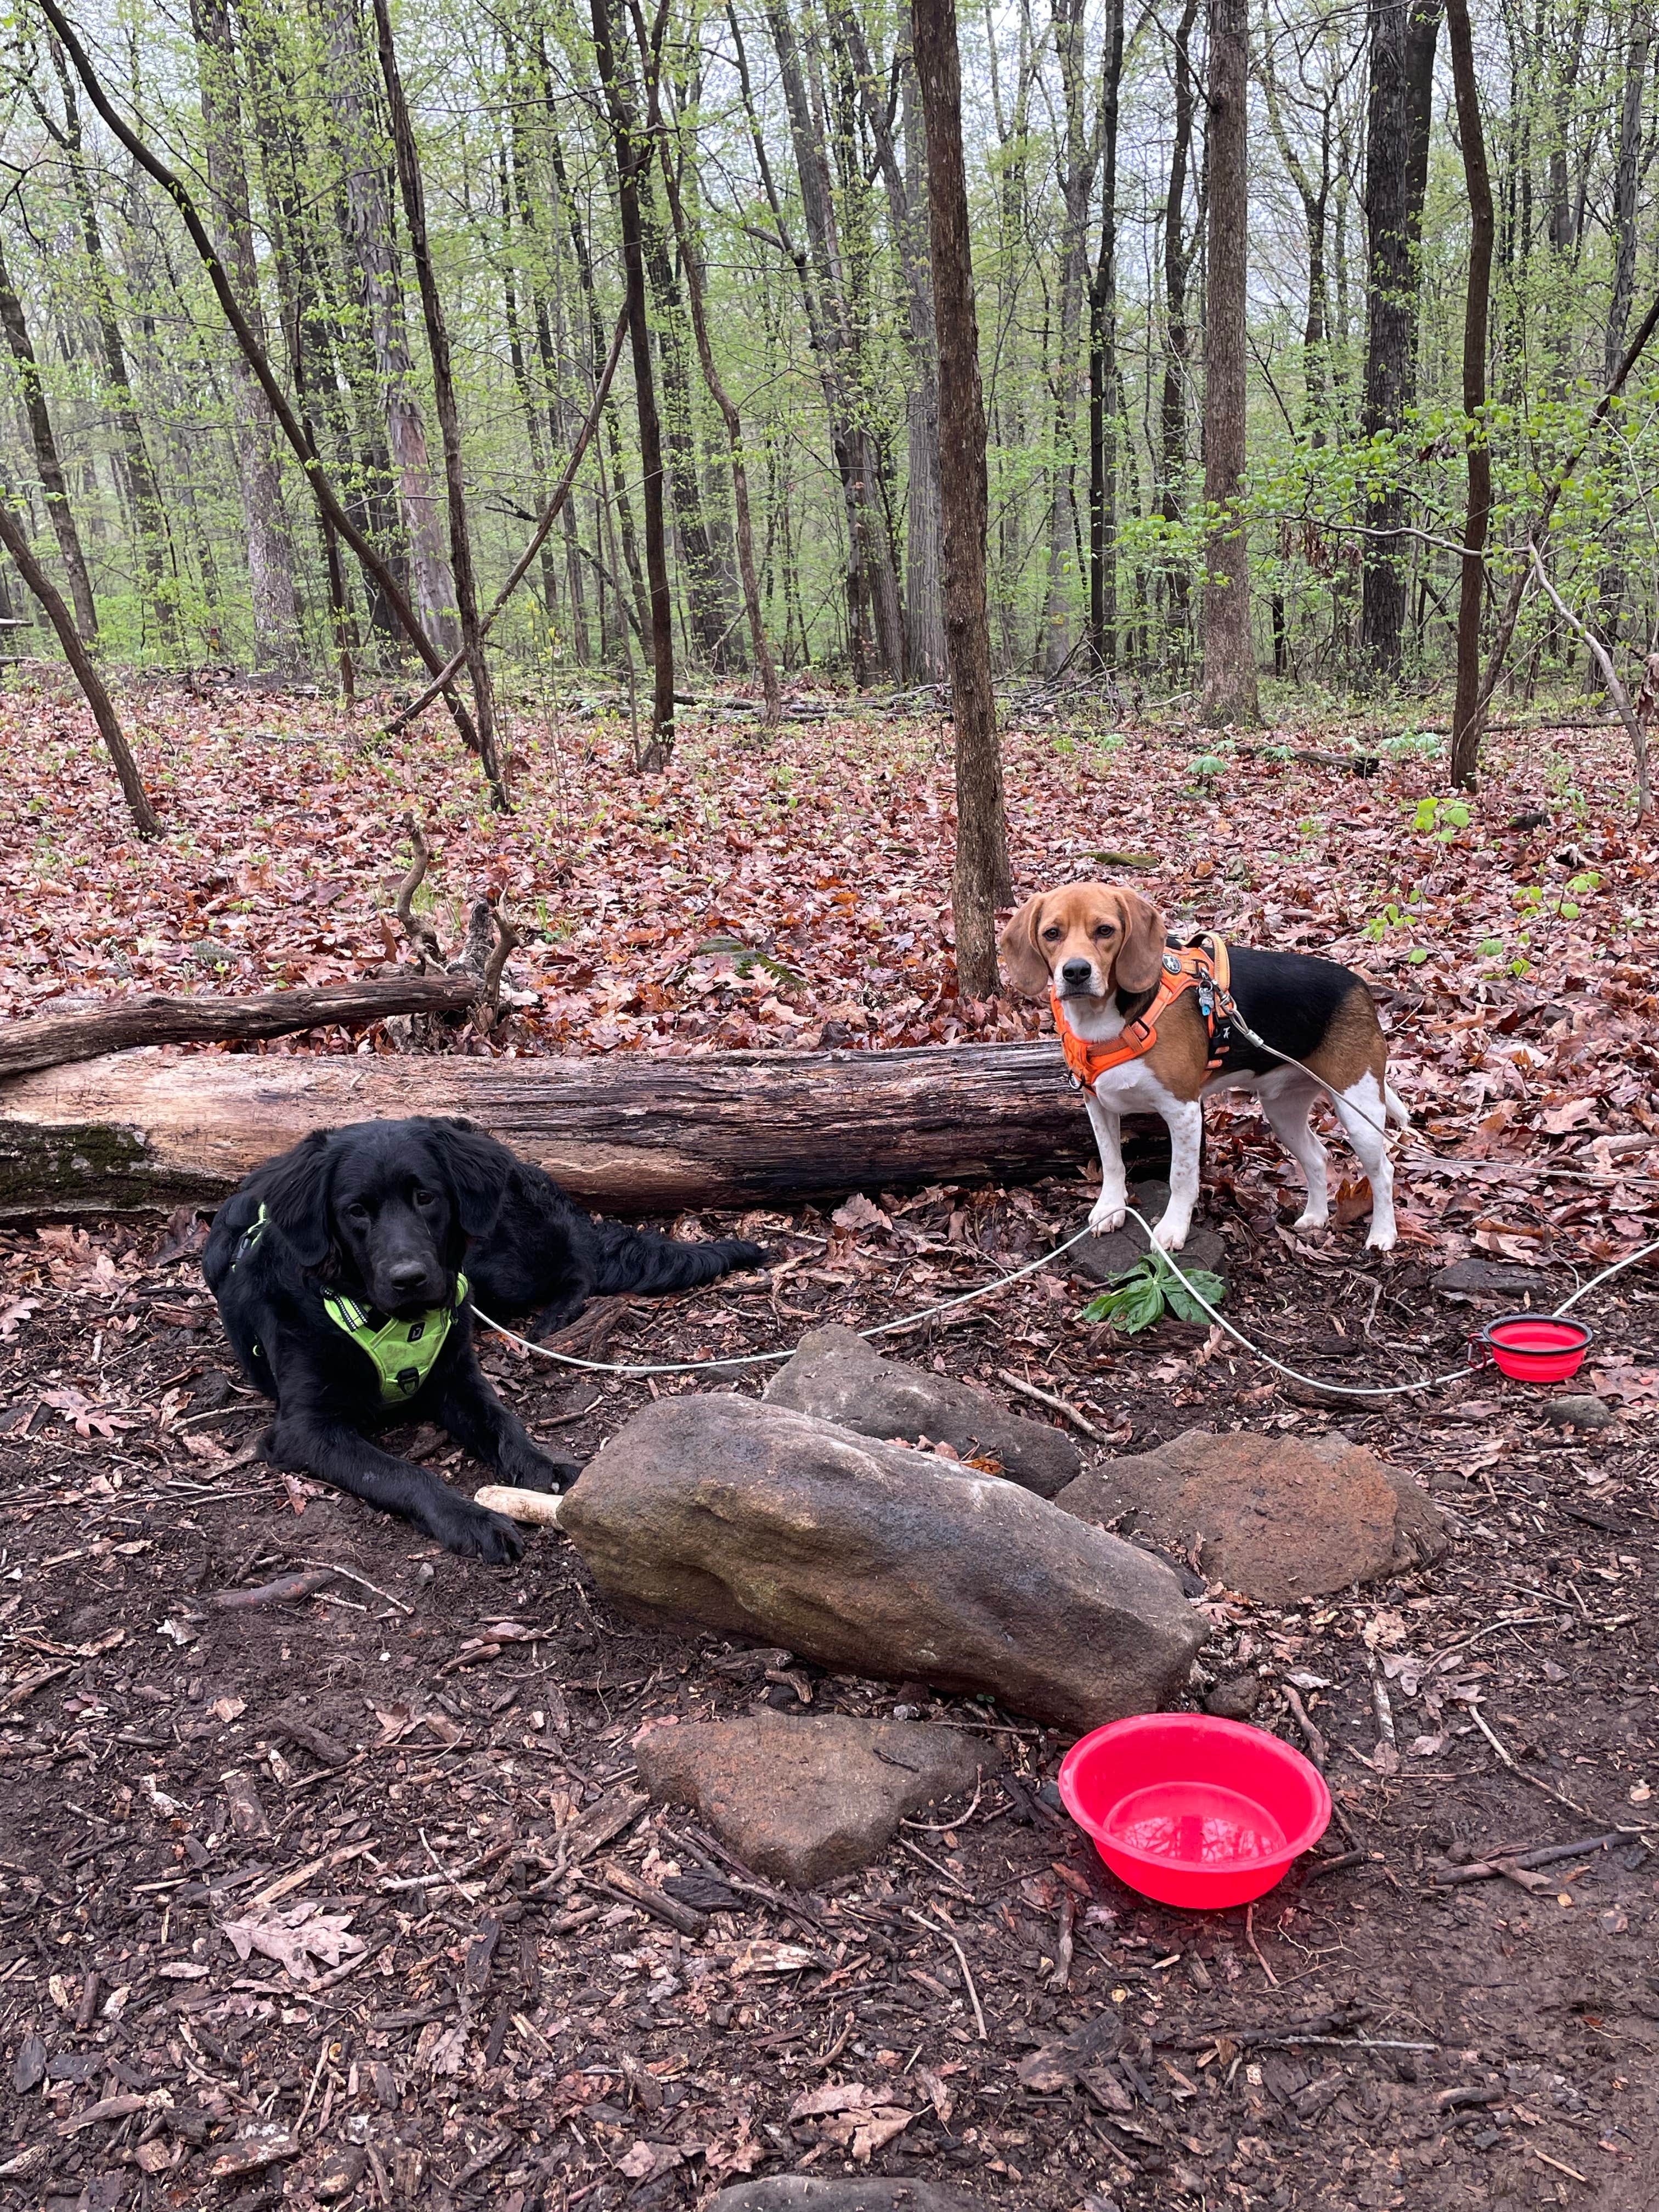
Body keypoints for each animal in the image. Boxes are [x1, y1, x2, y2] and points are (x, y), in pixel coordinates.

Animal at [201, 1115, 765, 1566]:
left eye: (426, 1197)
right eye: (356, 1211)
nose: (410, 1277)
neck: (384, 1317)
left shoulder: (456, 1378)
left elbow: (504, 1422)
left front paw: (543, 1467)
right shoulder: (305, 1429)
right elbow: (402, 1472)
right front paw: (472, 1520)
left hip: (495, 1267)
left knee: (579, 1263)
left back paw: (554, 1320)